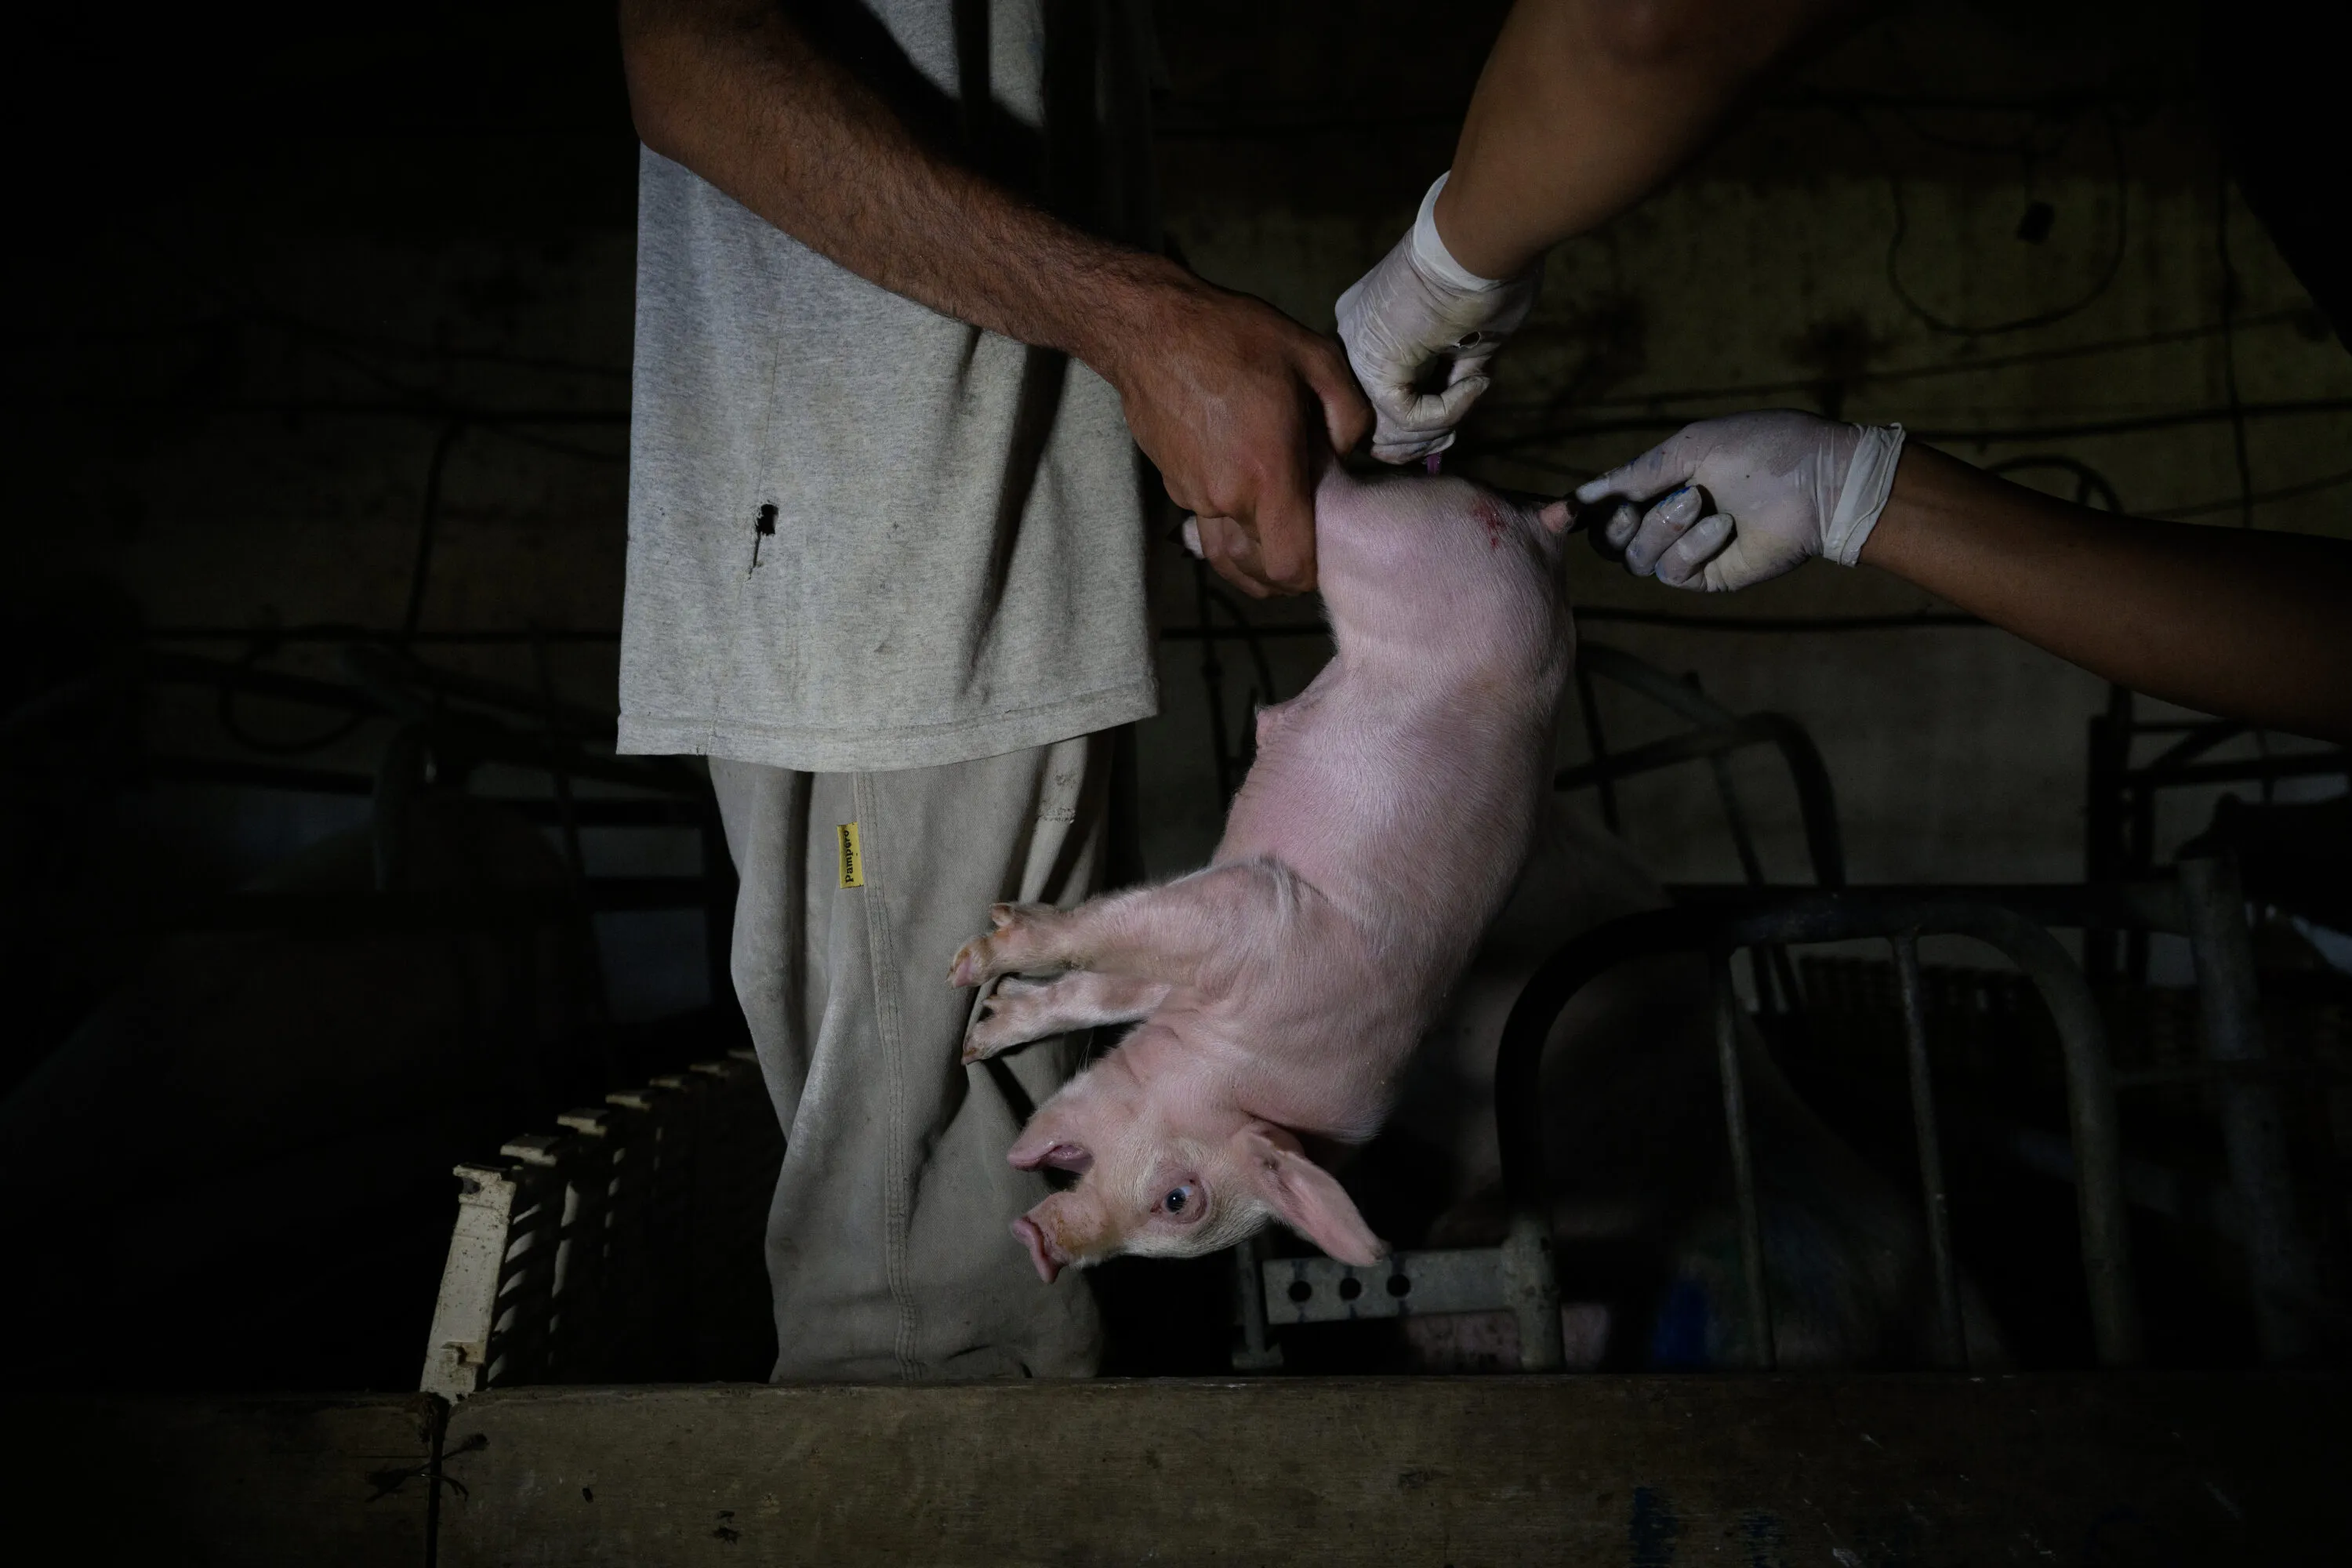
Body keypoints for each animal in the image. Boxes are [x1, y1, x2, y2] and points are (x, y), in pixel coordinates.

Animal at [946, 466, 1577, 1282]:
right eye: (1182, 1198)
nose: (1041, 1246)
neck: (1246, 1051)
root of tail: (1539, 528)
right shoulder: (1253, 911)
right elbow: (1113, 930)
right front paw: (973, 964)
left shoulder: (1188, 967)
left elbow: (1103, 988)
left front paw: (985, 1029)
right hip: (1402, 540)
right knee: (1328, 489)